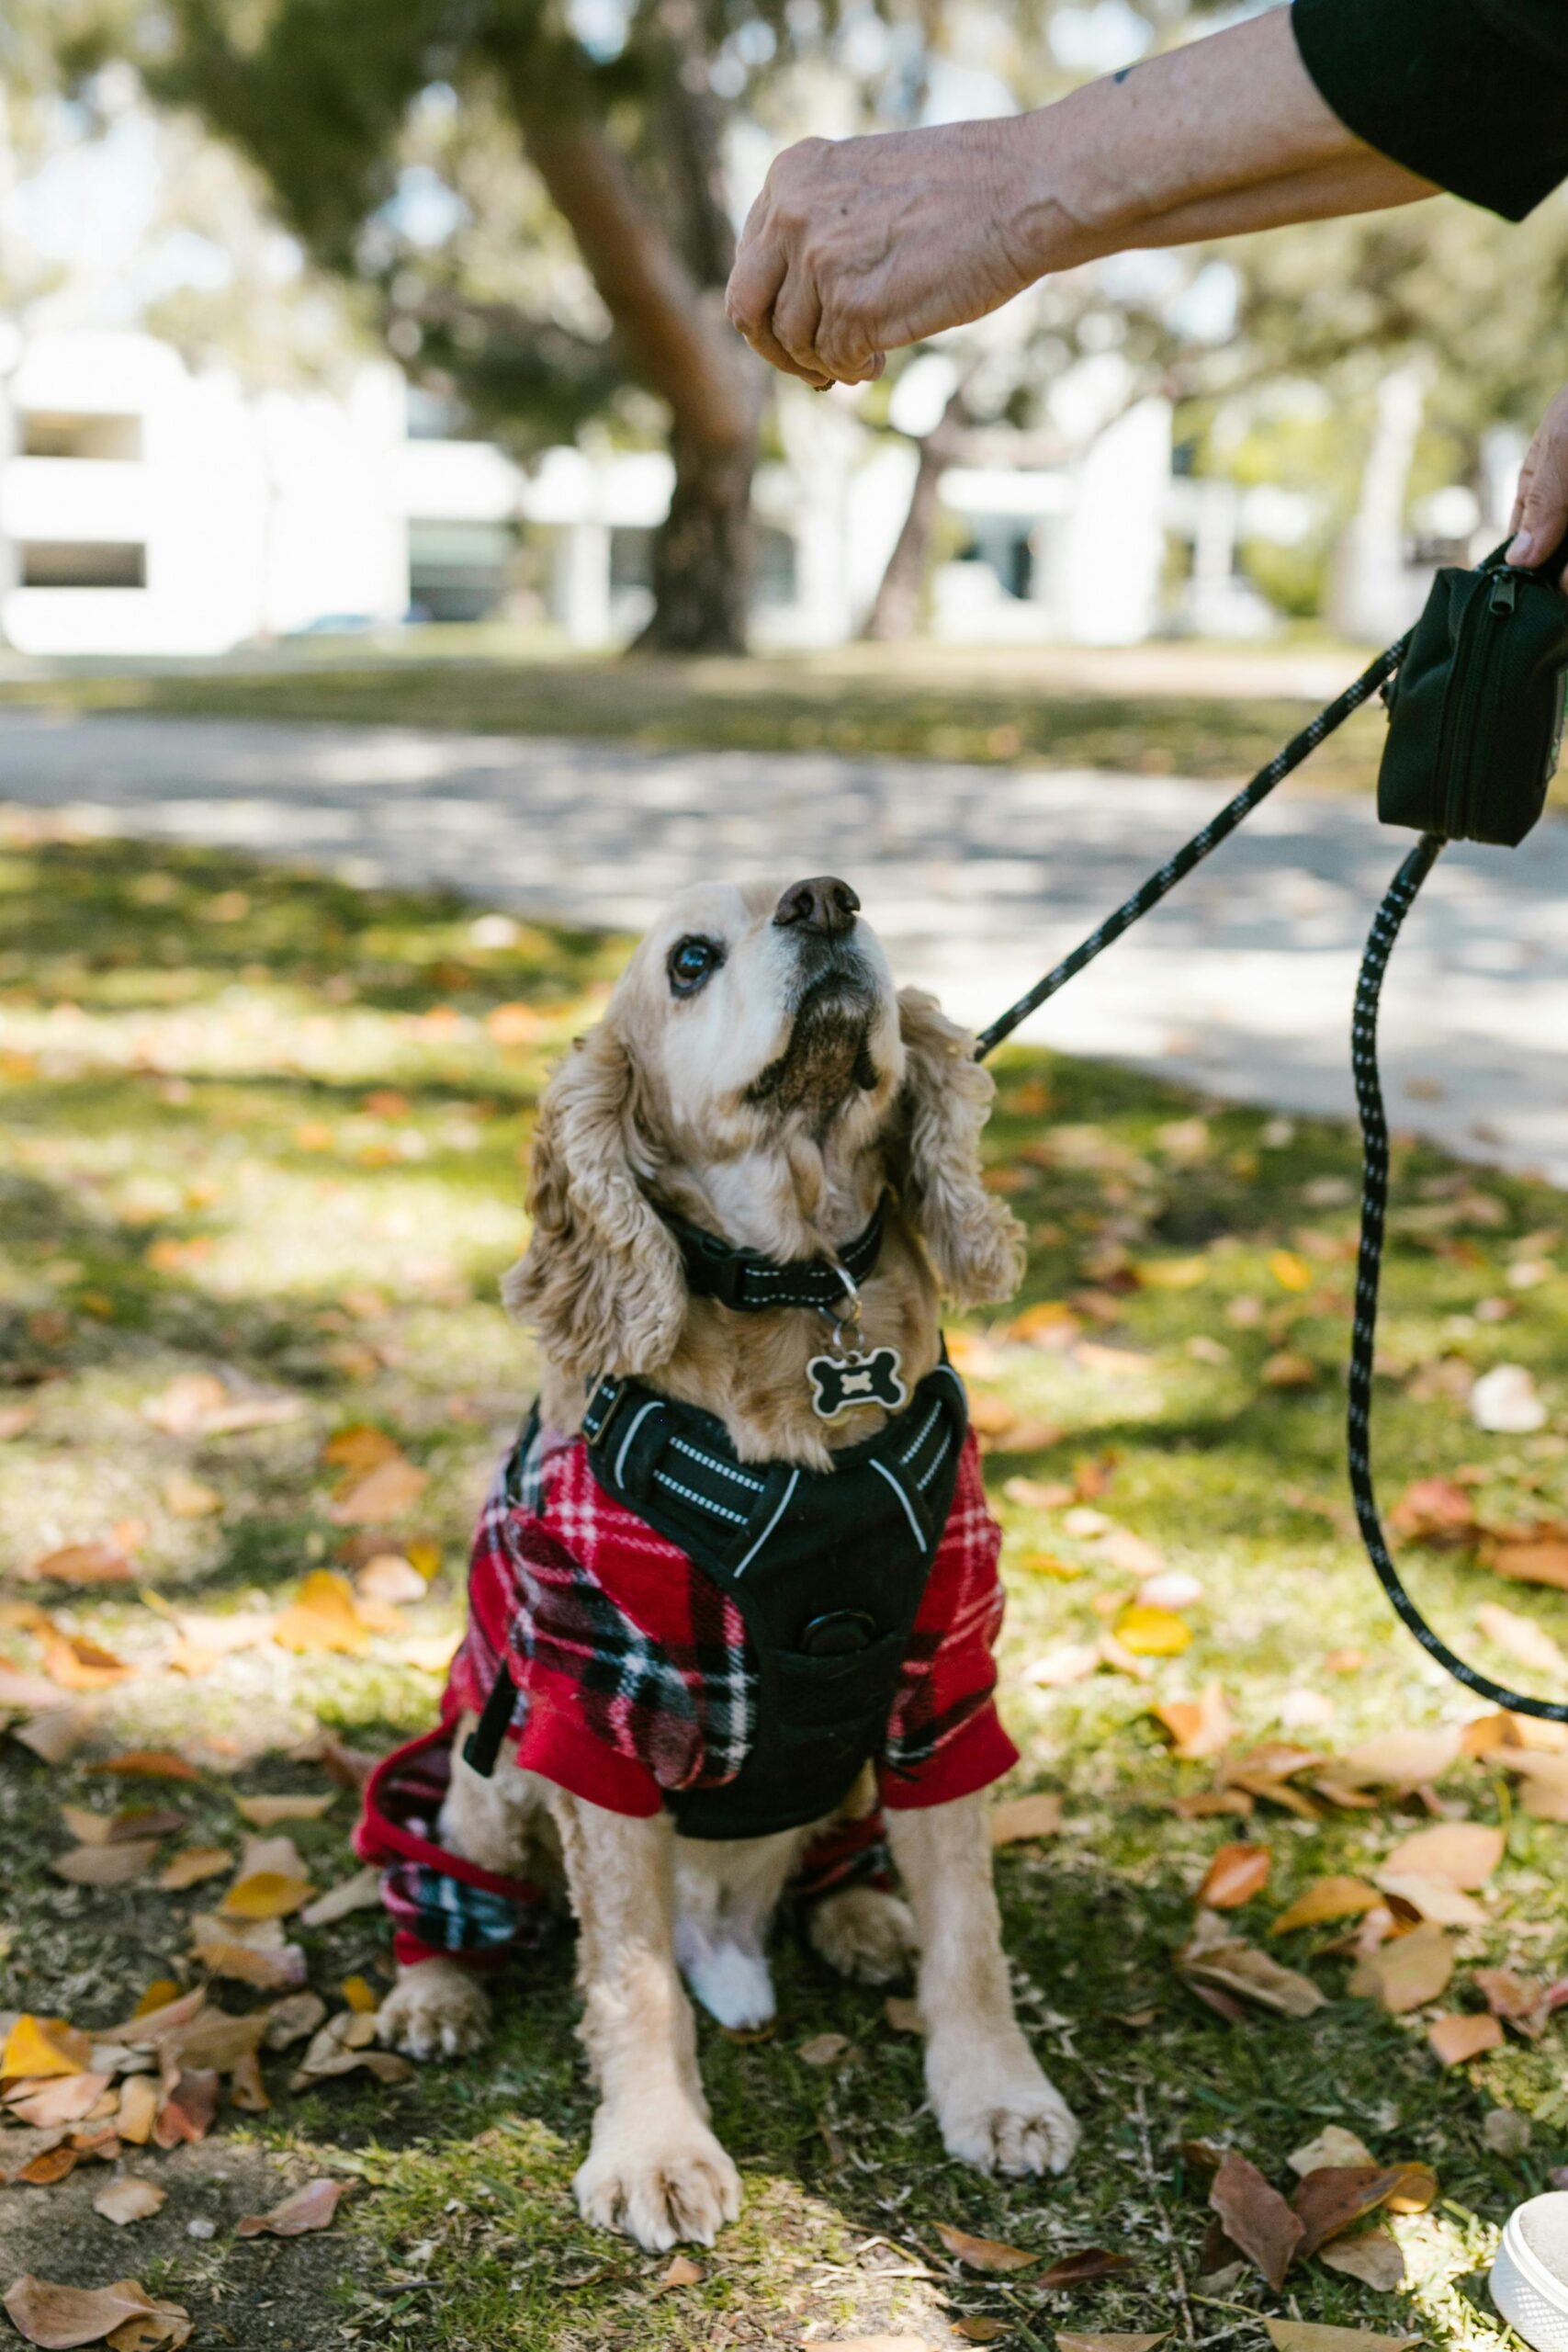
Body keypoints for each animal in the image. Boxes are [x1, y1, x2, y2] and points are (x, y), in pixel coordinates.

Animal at [371, 884, 1081, 2257]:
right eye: (690, 960)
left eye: (860, 901)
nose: (826, 901)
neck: (800, 1291)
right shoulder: (596, 1714)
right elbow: (630, 1975)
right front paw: (654, 2153)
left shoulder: (940, 1686)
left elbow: (969, 1929)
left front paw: (995, 2093)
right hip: (486, 1773)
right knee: (444, 1873)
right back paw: (434, 1990)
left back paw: (863, 1915)